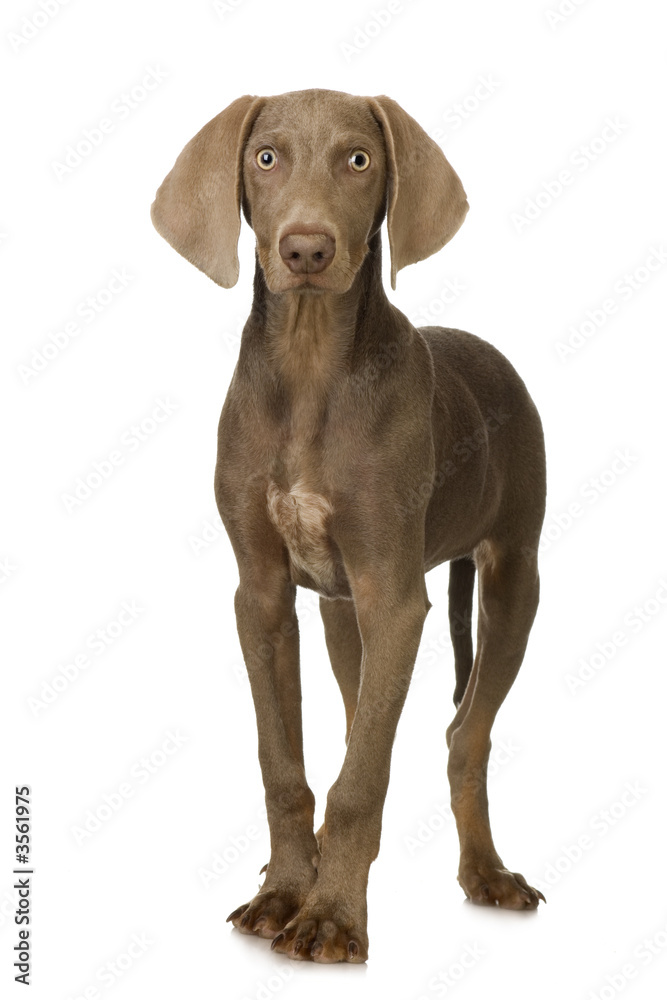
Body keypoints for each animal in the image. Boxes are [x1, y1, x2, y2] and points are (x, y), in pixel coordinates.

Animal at [151, 90, 548, 964]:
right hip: (341, 613)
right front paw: (283, 892)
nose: (305, 248)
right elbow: (285, 765)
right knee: (355, 713)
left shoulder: (394, 599)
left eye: (358, 159)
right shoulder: (262, 596)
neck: (307, 365)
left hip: (513, 577)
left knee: (464, 737)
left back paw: (486, 874)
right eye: (264, 157)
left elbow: (363, 778)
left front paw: (331, 916)